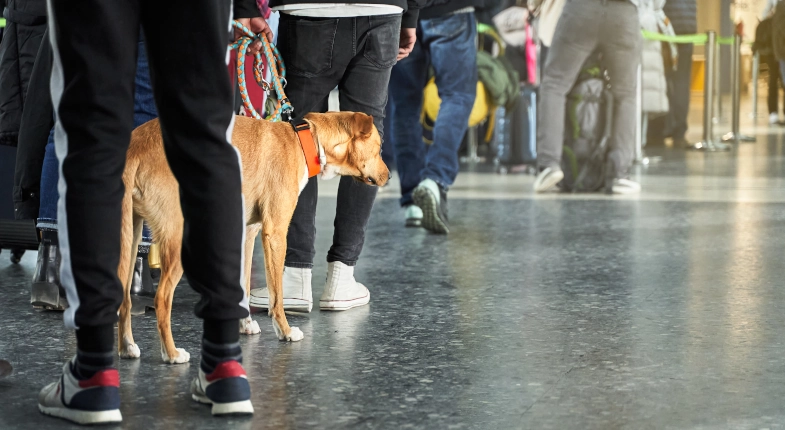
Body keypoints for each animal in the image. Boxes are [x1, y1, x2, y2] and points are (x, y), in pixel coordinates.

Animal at [115, 111, 388, 362]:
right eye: (379, 148)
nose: (388, 177)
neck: (304, 140)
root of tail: (135, 147)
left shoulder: (247, 233)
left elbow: (244, 286)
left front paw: (245, 326)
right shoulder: (275, 232)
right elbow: (277, 295)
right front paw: (285, 331)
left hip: (130, 236)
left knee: (124, 297)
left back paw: (127, 348)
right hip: (176, 236)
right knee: (162, 298)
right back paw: (171, 354)